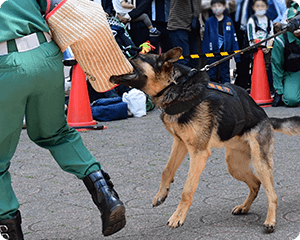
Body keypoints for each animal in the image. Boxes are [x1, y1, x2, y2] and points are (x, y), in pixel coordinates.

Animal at [109, 47, 300, 232]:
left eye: (136, 56)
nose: (118, 52)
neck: (175, 86)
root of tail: (267, 118)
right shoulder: (180, 143)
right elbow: (167, 170)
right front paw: (161, 194)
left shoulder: (198, 153)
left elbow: (187, 189)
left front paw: (178, 216)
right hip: (234, 165)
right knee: (256, 184)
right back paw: (244, 207)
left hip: (260, 163)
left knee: (272, 194)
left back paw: (270, 221)